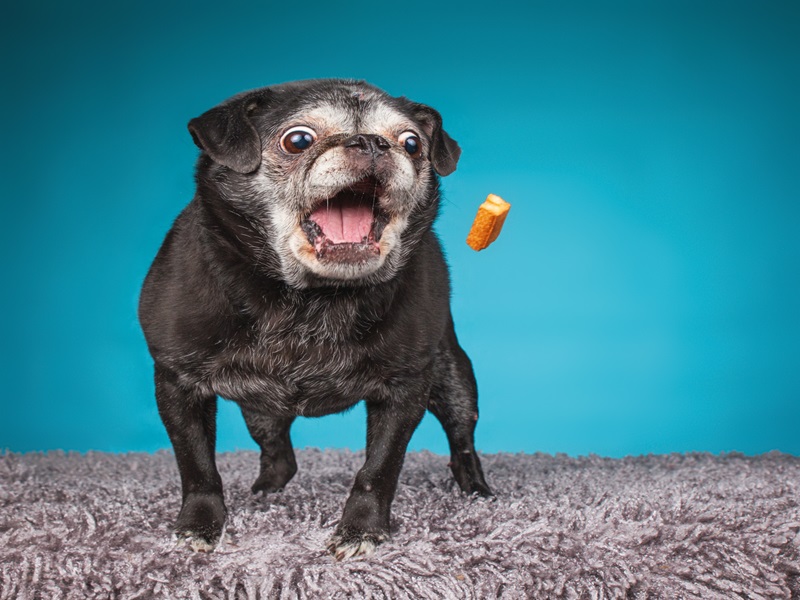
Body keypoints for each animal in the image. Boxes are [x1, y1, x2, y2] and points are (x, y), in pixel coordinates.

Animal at [141, 77, 496, 560]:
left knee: (463, 443)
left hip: (454, 382)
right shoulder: (178, 385)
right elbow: (196, 467)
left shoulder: (405, 391)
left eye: (412, 144)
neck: (313, 296)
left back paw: (477, 492)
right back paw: (267, 491)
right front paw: (200, 524)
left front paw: (361, 530)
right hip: (261, 412)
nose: (372, 142)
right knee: (279, 452)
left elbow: (379, 468)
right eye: (298, 141)